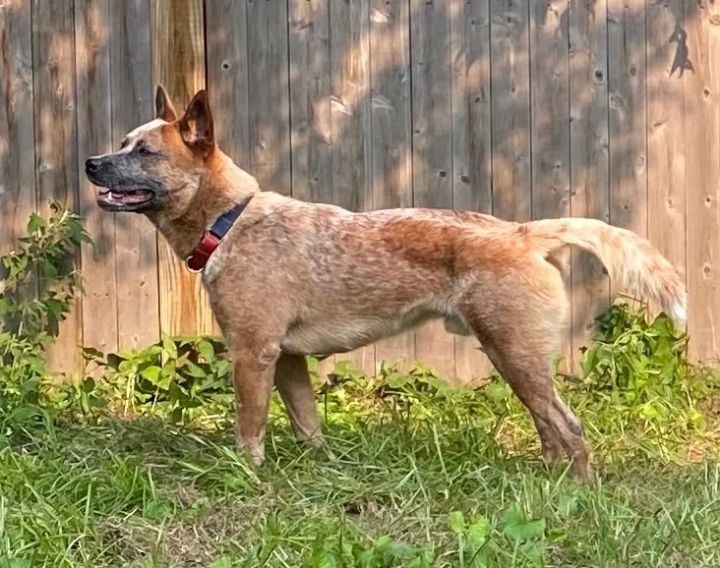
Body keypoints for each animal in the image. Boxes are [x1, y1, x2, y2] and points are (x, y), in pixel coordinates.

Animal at [87, 86, 688, 482]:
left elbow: (249, 428)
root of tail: (521, 232)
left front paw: (247, 476)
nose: (91, 162)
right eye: (123, 141)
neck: (230, 220)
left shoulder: (253, 352)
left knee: (571, 427)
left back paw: (579, 492)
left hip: (516, 354)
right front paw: (320, 472)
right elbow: (308, 425)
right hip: (514, 359)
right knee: (550, 429)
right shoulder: (287, 359)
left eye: (145, 152)